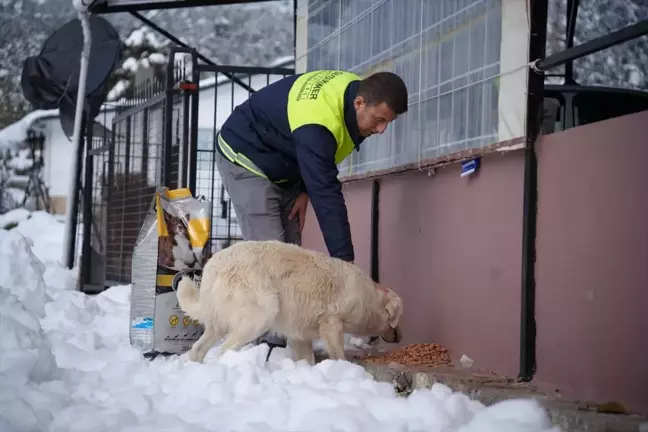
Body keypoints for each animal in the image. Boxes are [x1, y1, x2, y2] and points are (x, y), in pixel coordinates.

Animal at [175, 240, 402, 364]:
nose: (400, 337)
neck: (368, 296)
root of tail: (211, 267)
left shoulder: (300, 332)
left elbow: (306, 357)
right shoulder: (332, 322)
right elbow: (337, 351)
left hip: (218, 322)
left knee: (198, 348)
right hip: (262, 313)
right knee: (225, 349)